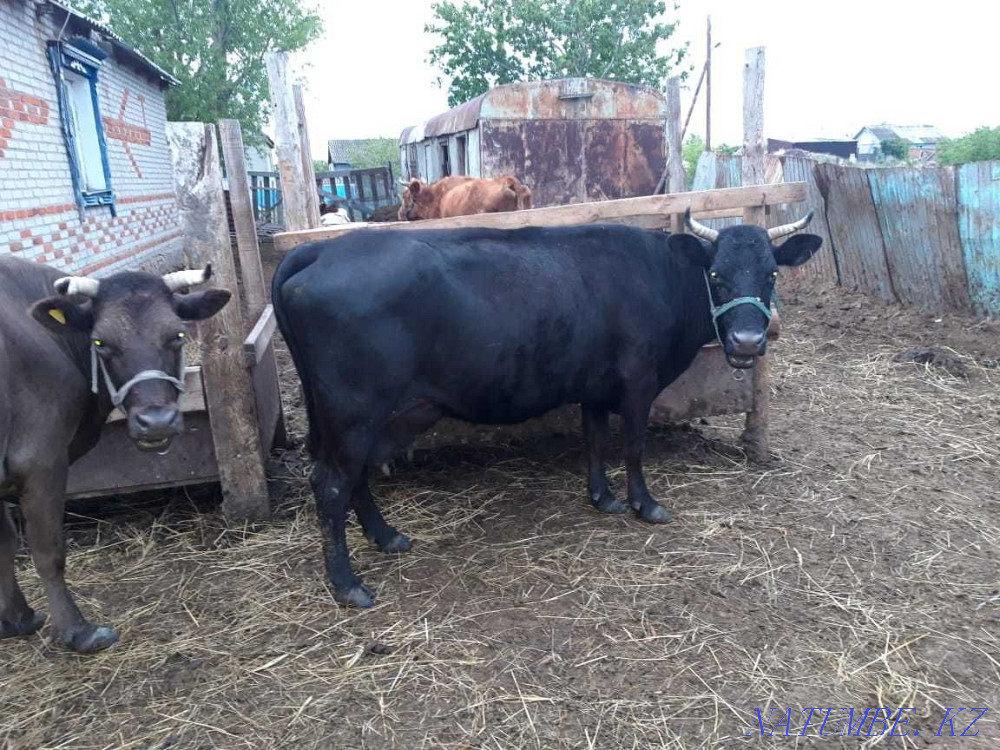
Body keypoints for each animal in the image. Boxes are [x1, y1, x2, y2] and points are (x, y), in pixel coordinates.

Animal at [0, 257, 230, 652]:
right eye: (100, 342)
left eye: (177, 335)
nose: (155, 422)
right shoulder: (41, 459)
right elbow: (47, 550)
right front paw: (77, 631)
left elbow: (5, 541)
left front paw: (17, 617)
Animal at [272, 210, 822, 608]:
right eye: (716, 274)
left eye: (771, 273)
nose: (747, 342)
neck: (660, 274)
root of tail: (322, 249)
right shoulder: (638, 382)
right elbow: (633, 446)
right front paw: (645, 505)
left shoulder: (595, 386)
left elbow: (594, 440)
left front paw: (603, 498)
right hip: (355, 411)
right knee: (332, 485)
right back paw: (348, 584)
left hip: (352, 417)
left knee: (355, 477)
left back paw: (386, 537)